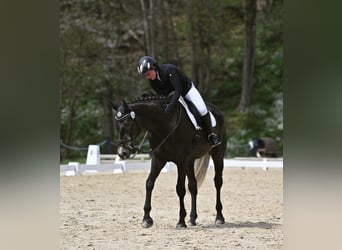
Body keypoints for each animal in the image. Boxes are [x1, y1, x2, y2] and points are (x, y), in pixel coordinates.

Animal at [111, 94, 227, 229]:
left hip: (217, 154)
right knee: (193, 185)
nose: (122, 153)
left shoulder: (181, 161)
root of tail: (217, 110)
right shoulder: (159, 159)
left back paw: (219, 217)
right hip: (190, 161)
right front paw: (147, 219)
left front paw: (181, 221)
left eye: (127, 123)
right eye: (116, 125)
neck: (164, 126)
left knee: (217, 182)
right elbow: (149, 183)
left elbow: (180, 189)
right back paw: (192, 218)